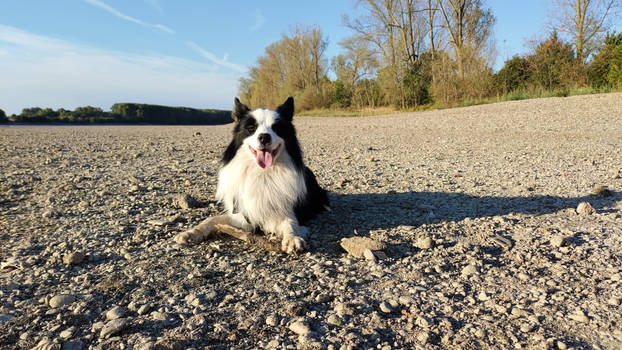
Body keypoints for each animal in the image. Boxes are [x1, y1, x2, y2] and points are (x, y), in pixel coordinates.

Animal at [176, 96, 330, 254]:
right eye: (251, 128)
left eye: (277, 128)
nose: (264, 137)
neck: (262, 173)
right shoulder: (241, 215)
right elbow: (212, 219)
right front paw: (191, 233)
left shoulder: (284, 211)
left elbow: (290, 223)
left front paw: (292, 239)